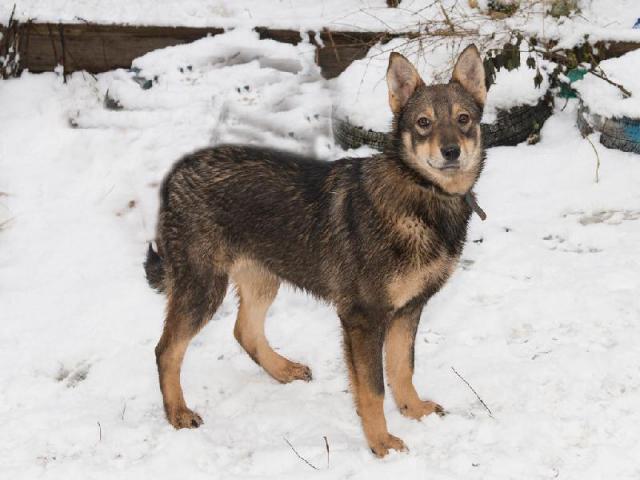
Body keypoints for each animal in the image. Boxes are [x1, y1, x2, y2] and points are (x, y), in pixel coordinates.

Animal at [144, 43, 484, 456]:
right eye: (423, 123)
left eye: (464, 119)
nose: (451, 152)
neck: (421, 196)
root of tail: (176, 174)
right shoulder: (363, 318)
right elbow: (373, 388)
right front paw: (381, 443)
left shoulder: (408, 310)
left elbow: (402, 369)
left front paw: (413, 410)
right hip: (203, 288)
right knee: (167, 350)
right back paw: (178, 413)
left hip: (263, 276)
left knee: (245, 331)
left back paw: (282, 369)